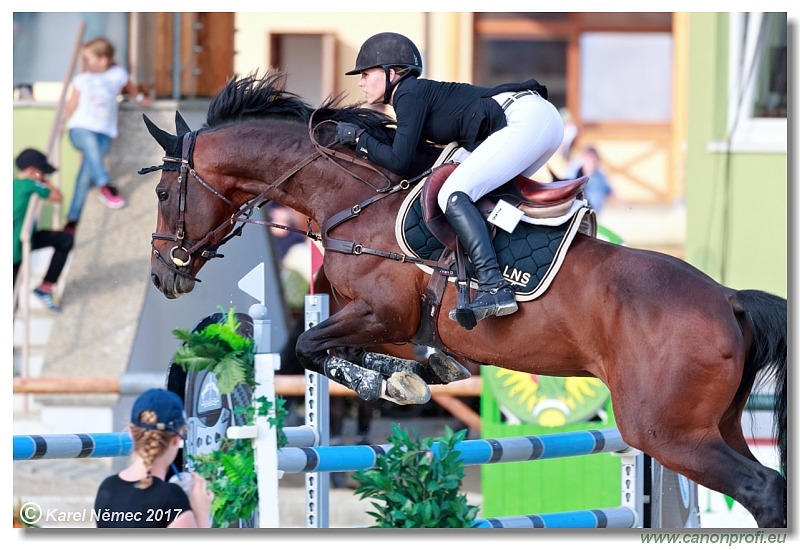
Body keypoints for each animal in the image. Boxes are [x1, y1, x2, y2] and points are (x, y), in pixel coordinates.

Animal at [142, 73, 788, 532]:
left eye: (164, 192)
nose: (163, 275)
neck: (350, 200)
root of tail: (728, 298)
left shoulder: (382, 313)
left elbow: (307, 345)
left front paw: (390, 381)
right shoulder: (389, 323)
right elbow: (346, 351)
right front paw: (407, 375)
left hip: (666, 432)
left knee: (761, 490)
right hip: (713, 427)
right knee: (769, 486)